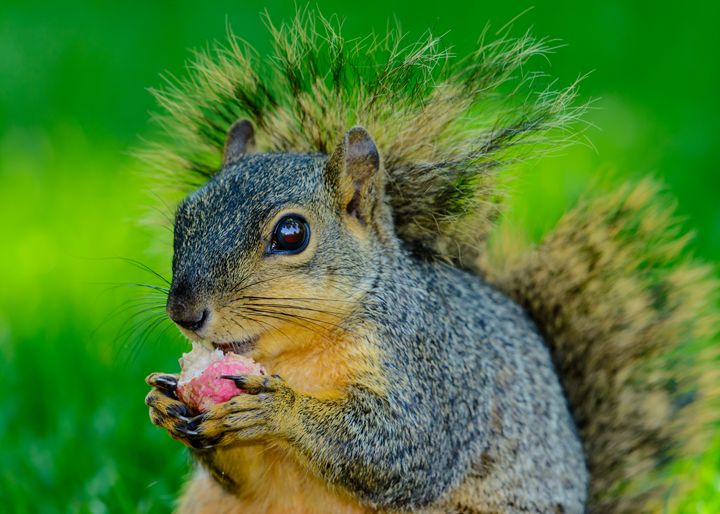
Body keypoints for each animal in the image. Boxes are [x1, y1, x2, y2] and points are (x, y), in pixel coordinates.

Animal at [141, 11, 719, 514]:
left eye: (291, 233)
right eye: (184, 215)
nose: (185, 312)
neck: (296, 351)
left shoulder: (435, 371)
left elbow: (406, 446)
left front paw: (277, 408)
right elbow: (245, 476)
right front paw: (166, 406)